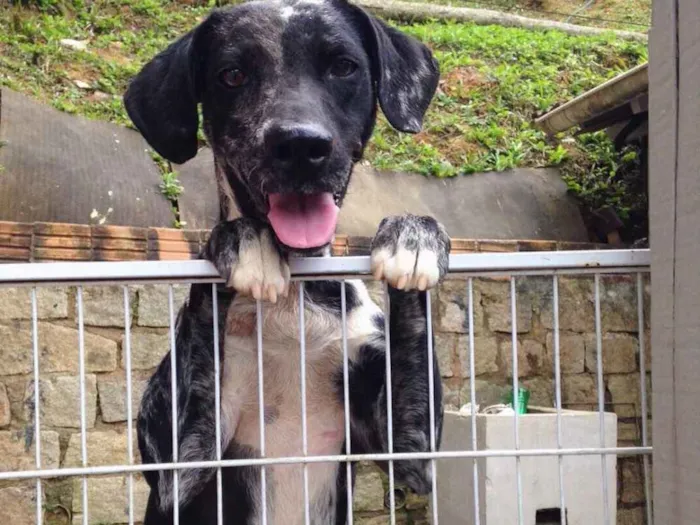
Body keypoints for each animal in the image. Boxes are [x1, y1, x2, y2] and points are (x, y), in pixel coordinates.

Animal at [125, 2, 452, 520]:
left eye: (343, 66)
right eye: (233, 74)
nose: (301, 145)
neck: (296, 299)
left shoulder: (410, 452)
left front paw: (413, 235)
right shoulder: (179, 469)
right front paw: (243, 240)